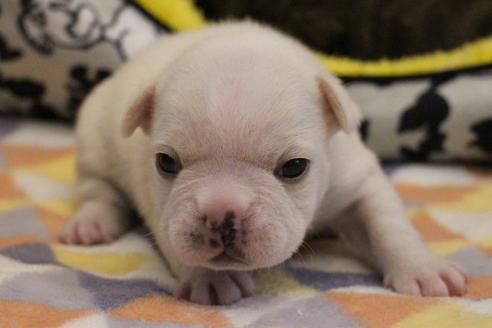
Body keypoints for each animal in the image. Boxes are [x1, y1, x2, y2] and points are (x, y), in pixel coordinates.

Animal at [57, 22, 466, 304]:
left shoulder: (357, 179)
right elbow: (172, 235)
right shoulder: (160, 202)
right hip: (94, 138)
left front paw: (422, 268)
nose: (221, 210)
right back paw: (91, 223)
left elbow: (388, 225)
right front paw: (211, 279)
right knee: (96, 188)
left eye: (295, 167)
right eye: (166, 163)